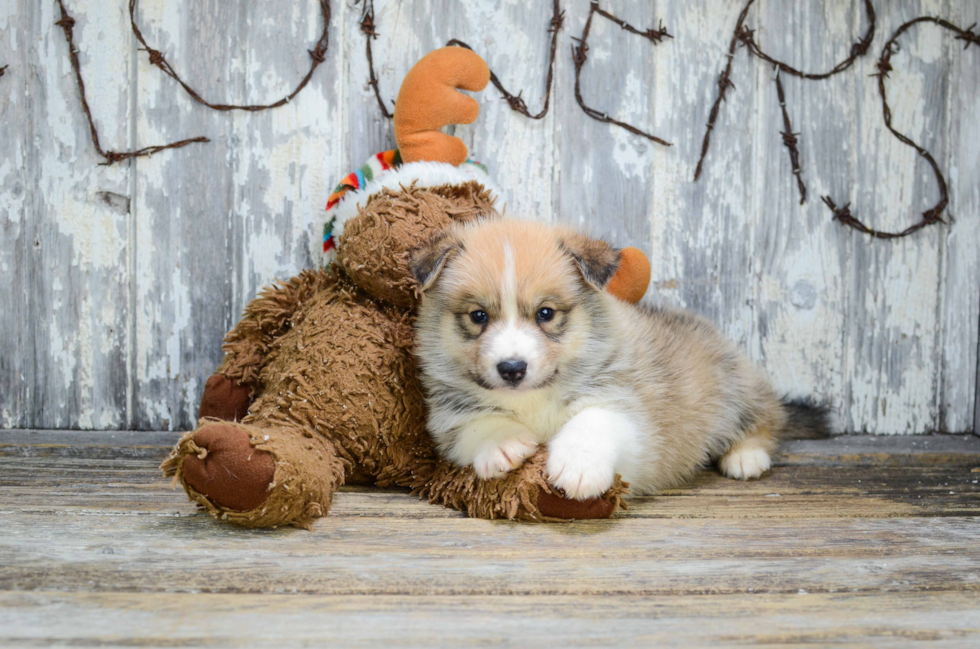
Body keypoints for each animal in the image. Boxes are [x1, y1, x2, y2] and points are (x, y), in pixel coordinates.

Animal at [408, 220, 828, 498]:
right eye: (478, 316)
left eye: (546, 313)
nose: (512, 369)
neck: (534, 400)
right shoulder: (448, 417)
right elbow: (476, 425)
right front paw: (502, 444)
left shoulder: (624, 404)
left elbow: (593, 421)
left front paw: (577, 466)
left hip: (736, 384)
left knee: (768, 418)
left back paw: (746, 456)